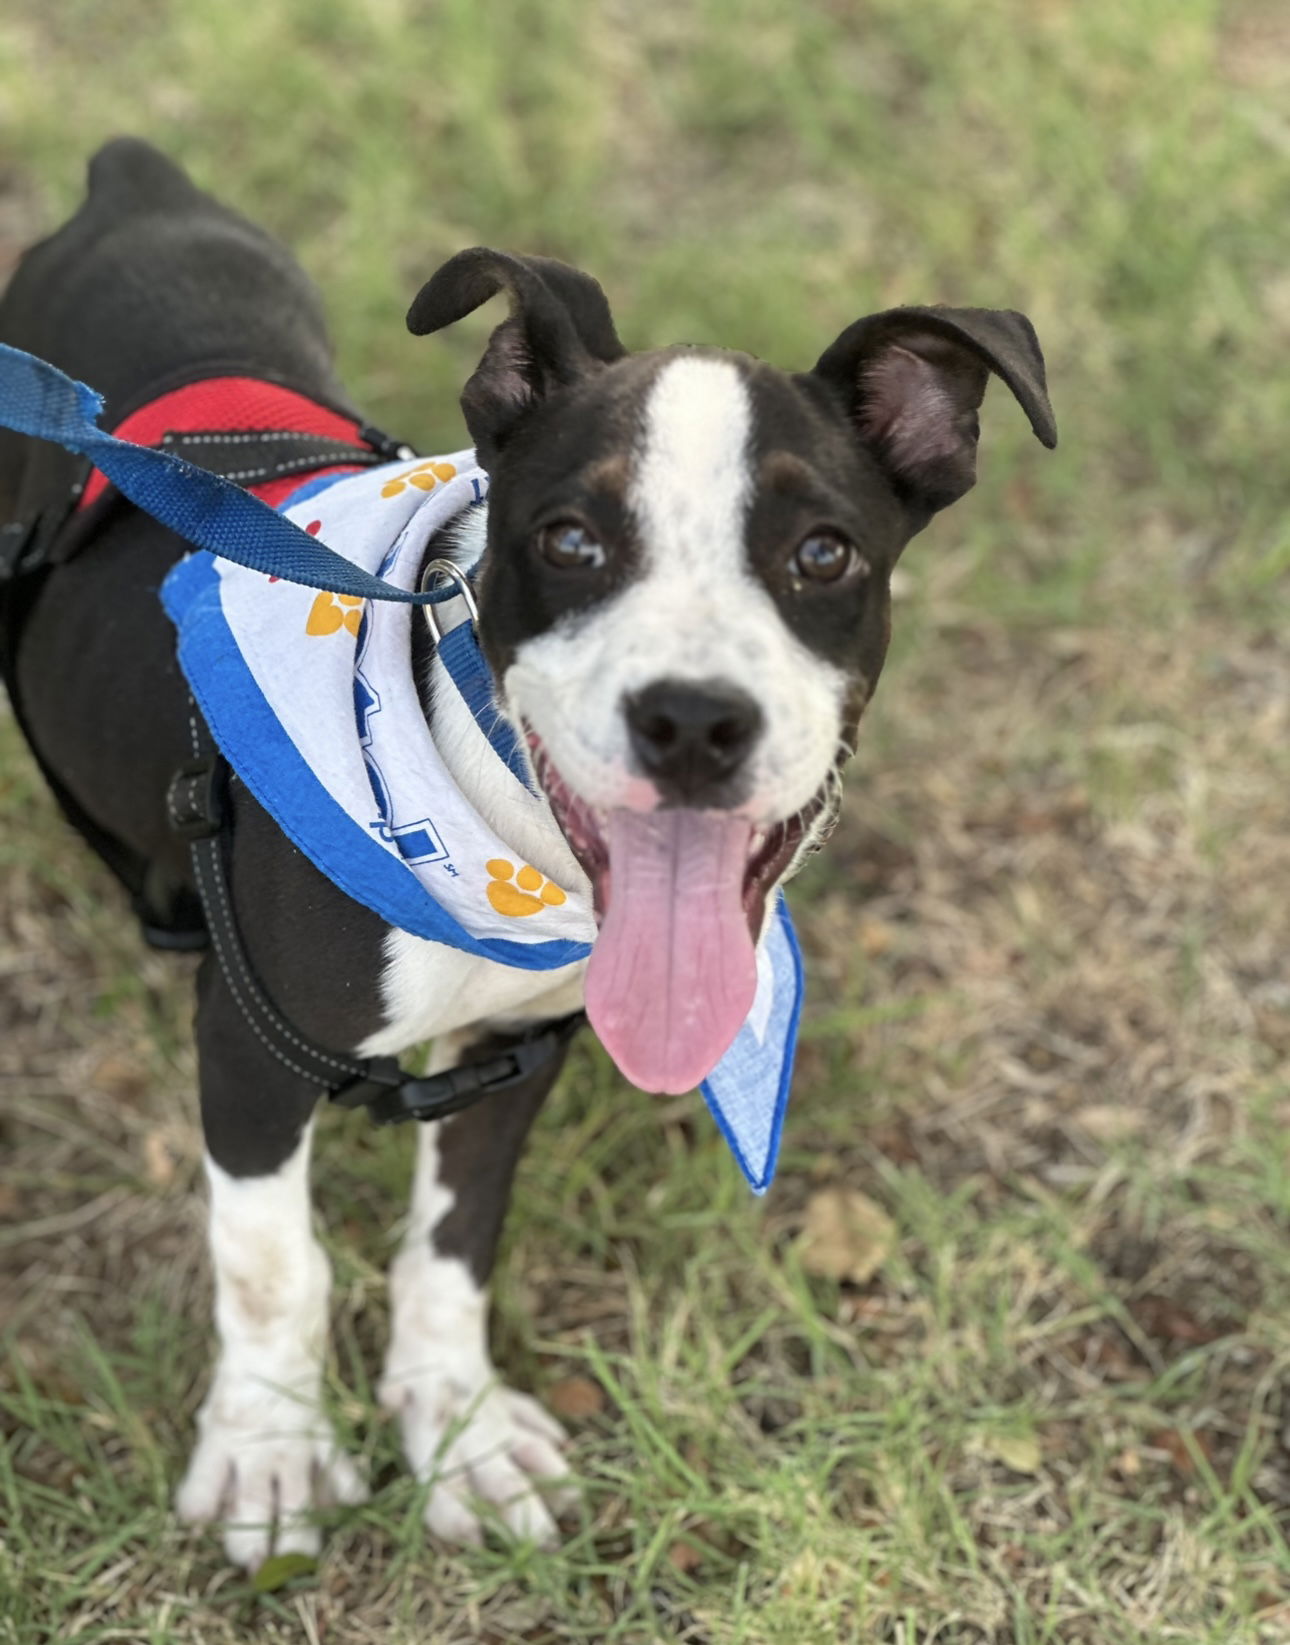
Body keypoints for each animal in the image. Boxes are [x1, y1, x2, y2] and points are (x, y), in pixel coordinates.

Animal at [0, 141, 1053, 1566]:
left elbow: (453, 1248)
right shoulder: (254, 1054)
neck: (492, 852)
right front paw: (272, 1448)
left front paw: (458, 1428)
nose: (694, 720)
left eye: (824, 551)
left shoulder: (509, 1056)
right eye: (569, 540)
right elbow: (273, 1261)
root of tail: (131, 176)